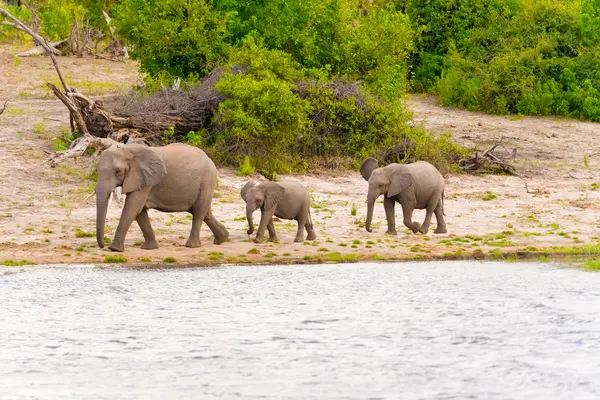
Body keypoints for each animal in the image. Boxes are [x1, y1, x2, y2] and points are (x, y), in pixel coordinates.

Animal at [95, 142, 229, 252]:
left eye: (117, 171)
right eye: (97, 171)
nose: (103, 246)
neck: (128, 149)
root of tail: (210, 160)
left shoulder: (145, 180)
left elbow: (133, 207)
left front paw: (114, 249)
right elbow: (139, 211)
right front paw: (150, 248)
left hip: (207, 178)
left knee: (199, 210)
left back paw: (192, 246)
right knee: (203, 211)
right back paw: (222, 238)